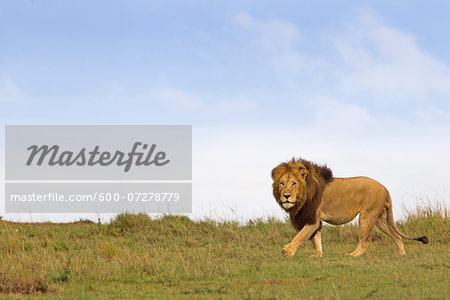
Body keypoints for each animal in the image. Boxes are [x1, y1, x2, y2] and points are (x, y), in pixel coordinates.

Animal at [270, 157, 428, 258]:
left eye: (294, 184)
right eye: (282, 184)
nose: (286, 196)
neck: (304, 194)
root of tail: (384, 187)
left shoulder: (312, 218)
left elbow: (301, 236)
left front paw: (288, 251)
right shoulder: (314, 219)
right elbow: (316, 238)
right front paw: (317, 254)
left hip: (367, 216)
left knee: (365, 241)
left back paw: (353, 255)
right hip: (380, 218)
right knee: (396, 236)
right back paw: (400, 253)